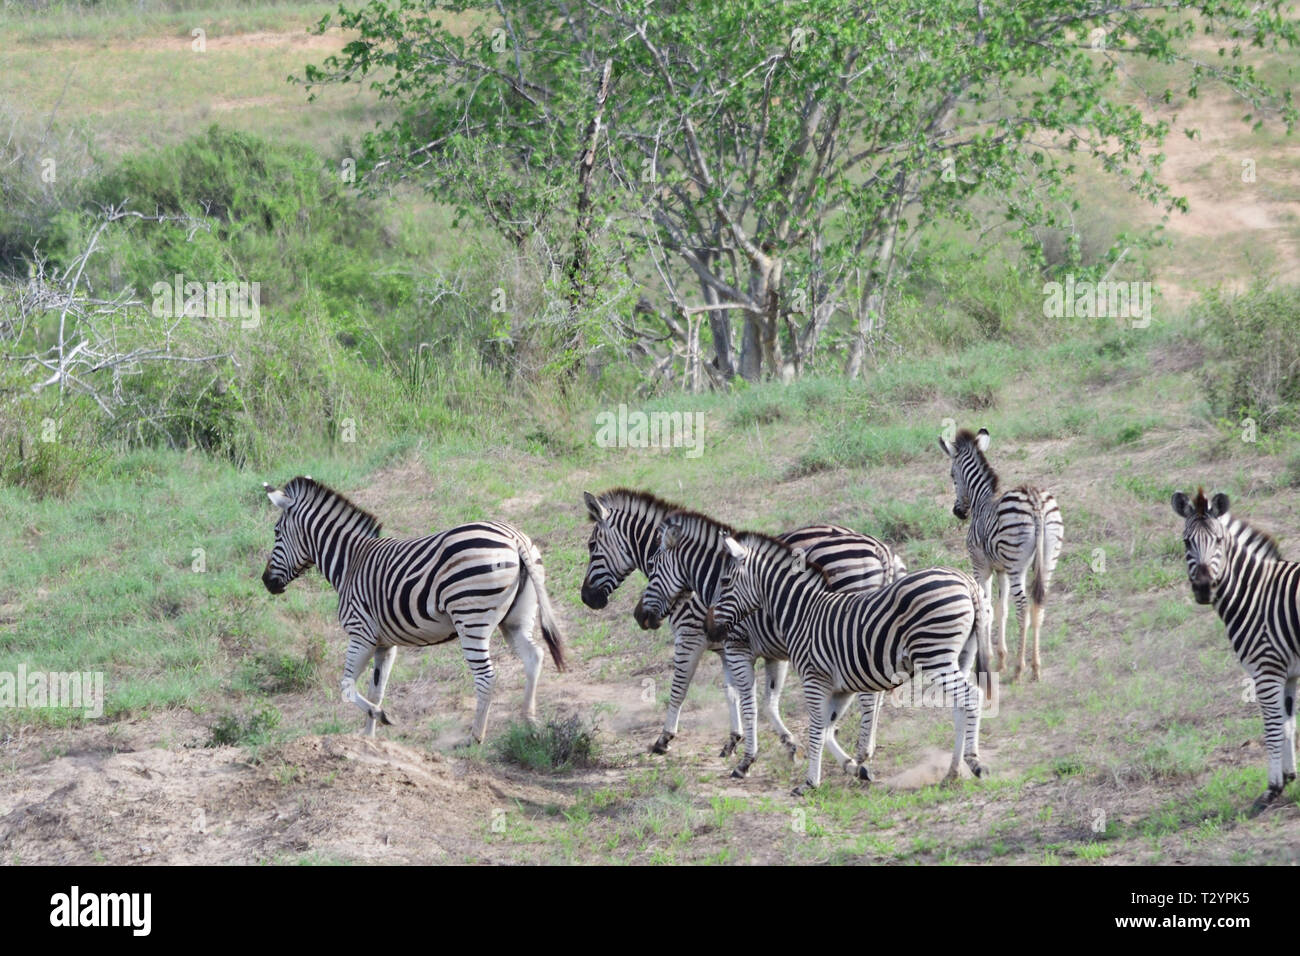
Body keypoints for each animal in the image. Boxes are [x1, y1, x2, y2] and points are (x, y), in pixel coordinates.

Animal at [262, 476, 564, 738]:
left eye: (276, 533)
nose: (266, 582)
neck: (350, 563)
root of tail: (514, 538)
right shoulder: (385, 644)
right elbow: (376, 690)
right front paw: (369, 736)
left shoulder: (361, 633)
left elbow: (347, 686)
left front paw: (382, 717)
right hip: (515, 619)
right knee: (534, 657)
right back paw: (529, 722)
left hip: (471, 619)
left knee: (486, 677)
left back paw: (475, 738)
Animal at [631, 512, 904, 780]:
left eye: (652, 566)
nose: (638, 615)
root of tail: (881, 550)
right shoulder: (761, 652)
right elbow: (758, 698)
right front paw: (779, 745)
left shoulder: (709, 642)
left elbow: (696, 692)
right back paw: (861, 752)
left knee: (868, 695)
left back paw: (862, 752)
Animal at [702, 535, 993, 796]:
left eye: (725, 581)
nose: (710, 630)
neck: (800, 613)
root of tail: (966, 581)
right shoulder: (842, 687)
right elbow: (827, 729)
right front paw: (856, 768)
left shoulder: (814, 678)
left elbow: (816, 729)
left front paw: (810, 783)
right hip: (959, 655)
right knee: (960, 706)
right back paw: (952, 772)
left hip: (935, 655)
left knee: (972, 696)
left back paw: (974, 763)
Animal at [941, 426, 1060, 681]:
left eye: (952, 476)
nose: (958, 512)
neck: (981, 500)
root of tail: (1035, 502)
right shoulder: (1001, 569)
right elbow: (1001, 609)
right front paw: (1001, 660)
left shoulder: (981, 567)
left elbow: (986, 608)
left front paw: (987, 660)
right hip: (1048, 559)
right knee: (1039, 604)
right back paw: (1035, 667)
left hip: (1017, 566)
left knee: (1023, 606)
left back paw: (1019, 669)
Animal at [1175, 489, 1300, 811]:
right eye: (1186, 542)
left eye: (1218, 541)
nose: (1203, 588)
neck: (1255, 593)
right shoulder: (1288, 674)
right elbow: (1287, 724)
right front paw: (1289, 777)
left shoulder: (1266, 670)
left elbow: (1272, 727)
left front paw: (1272, 789)